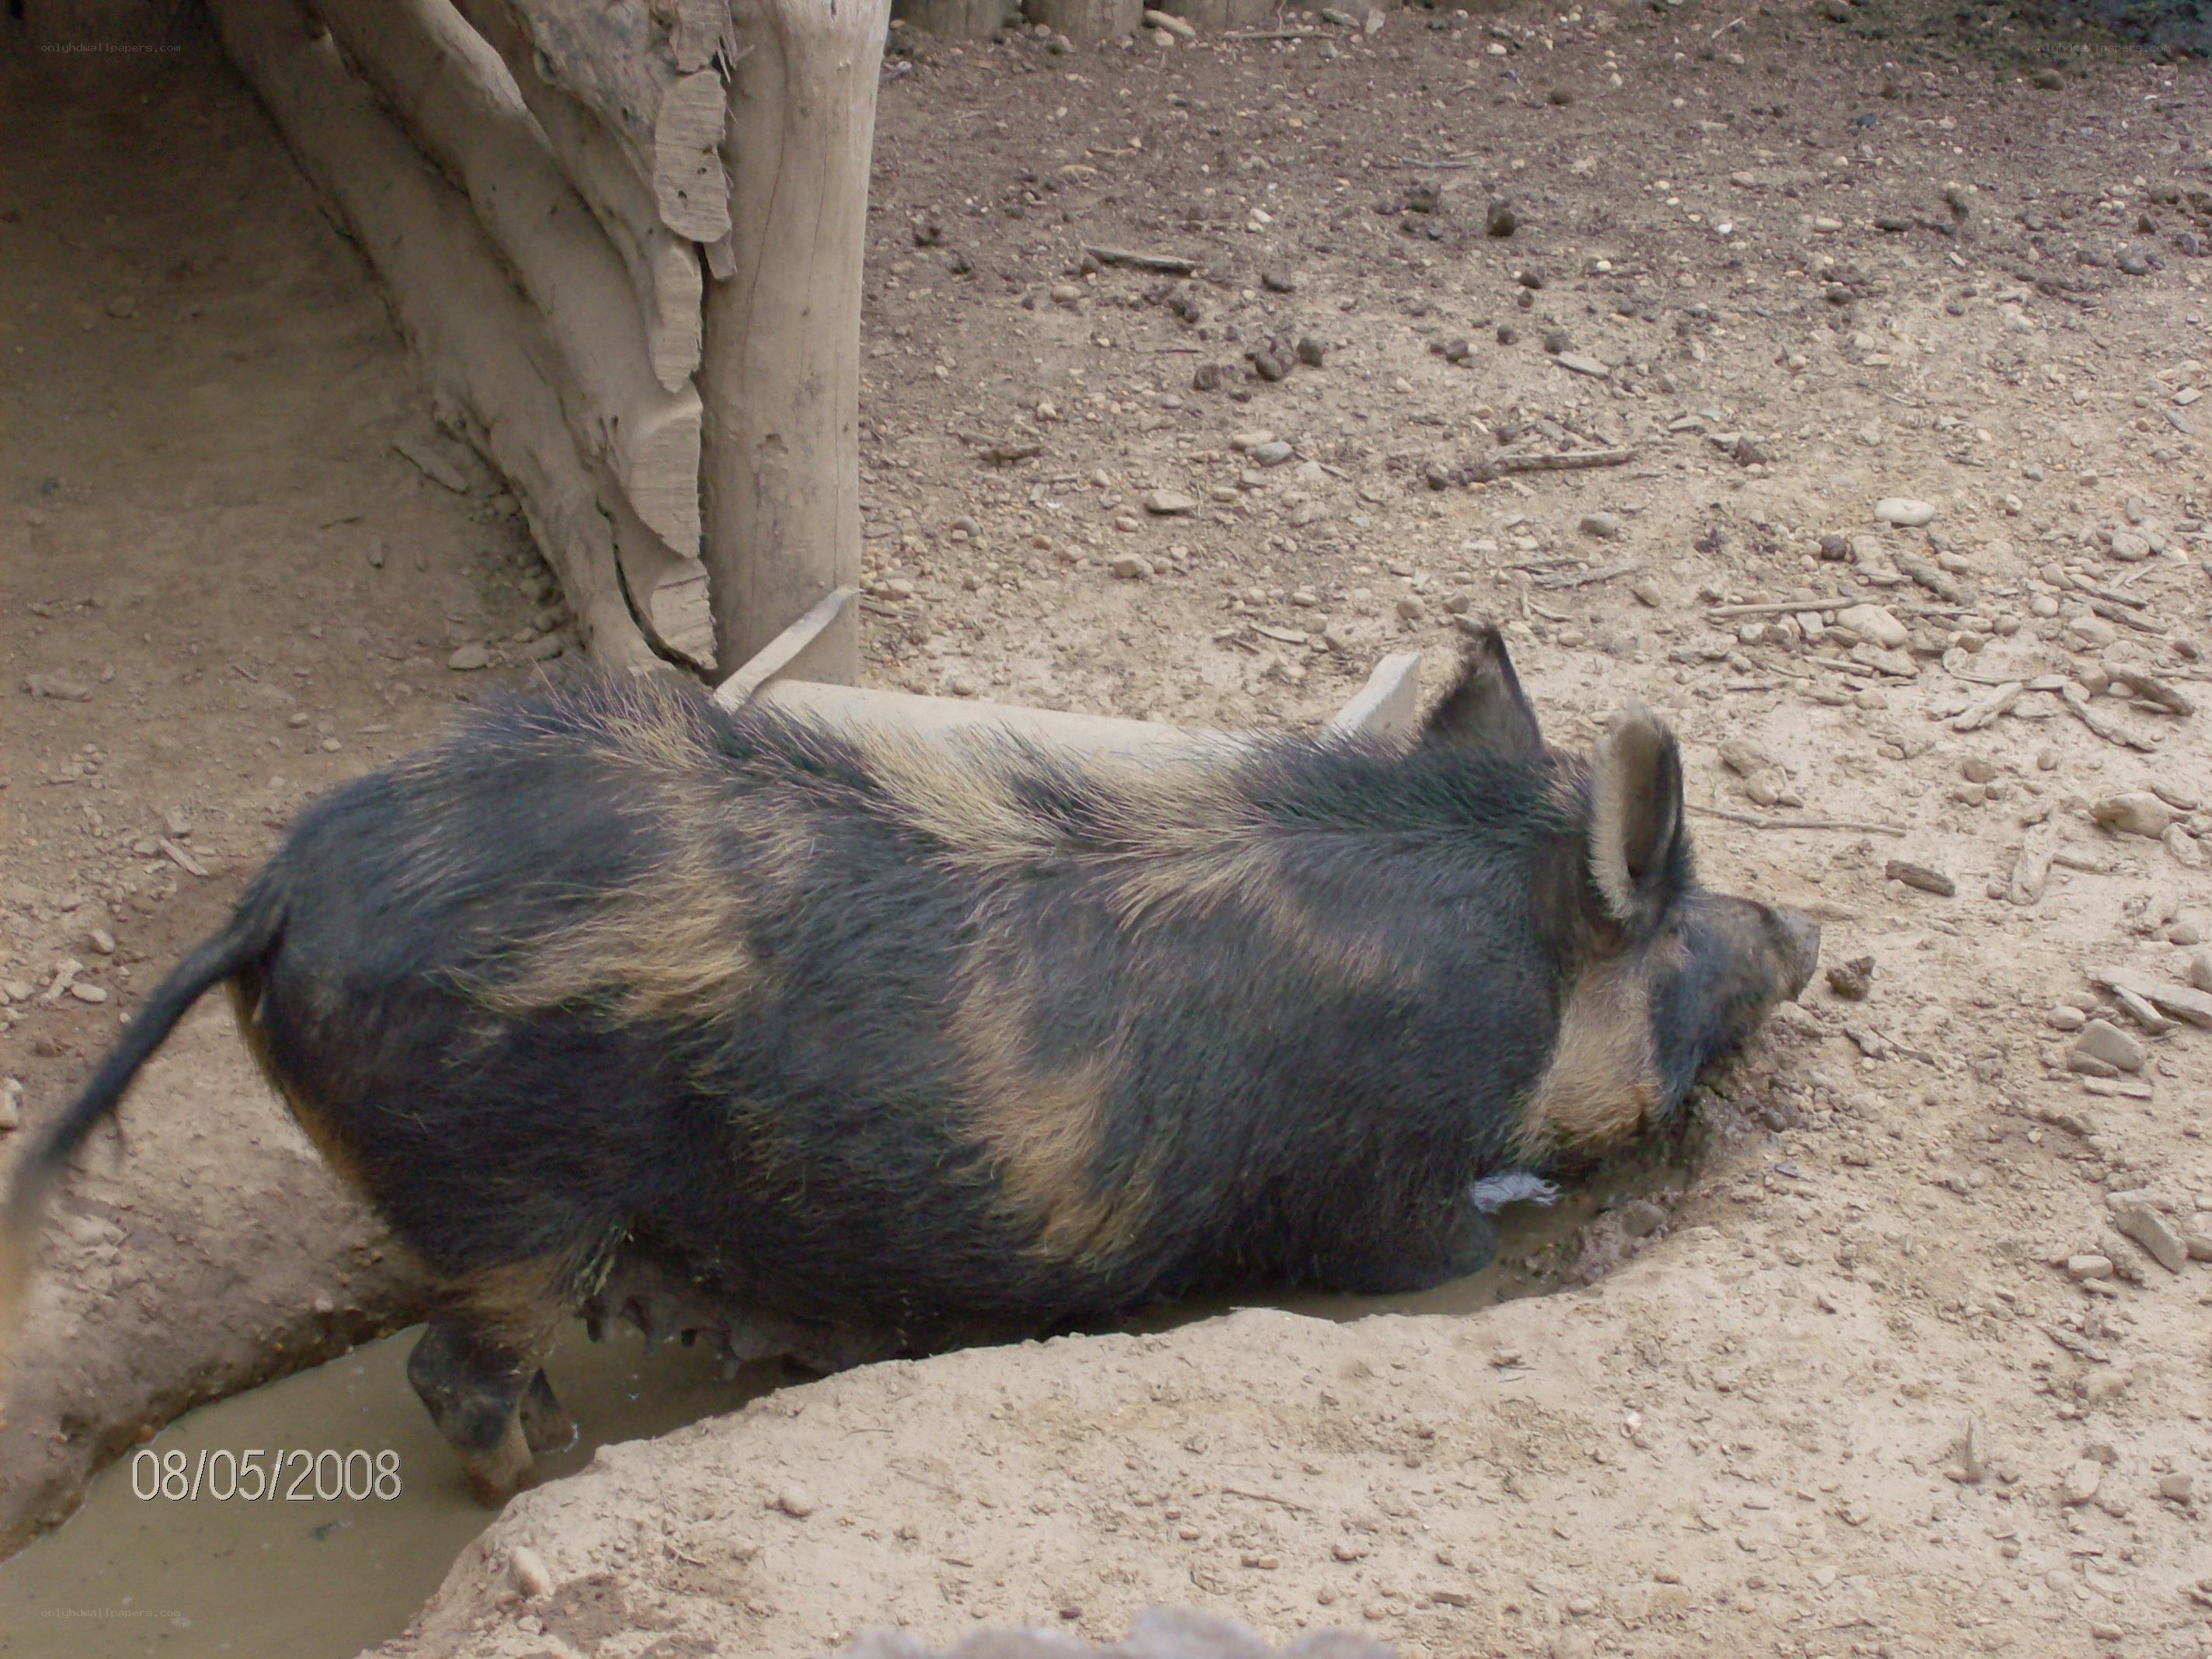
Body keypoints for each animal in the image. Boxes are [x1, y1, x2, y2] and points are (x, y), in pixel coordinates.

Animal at [0, 629, 1817, 1503]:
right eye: (1679, 914)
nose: (1802, 925)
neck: (1487, 967)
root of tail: (276, 894)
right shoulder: (1380, 1191)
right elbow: (1435, 1262)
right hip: (496, 1186)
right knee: (458, 1375)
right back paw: (561, 1474)